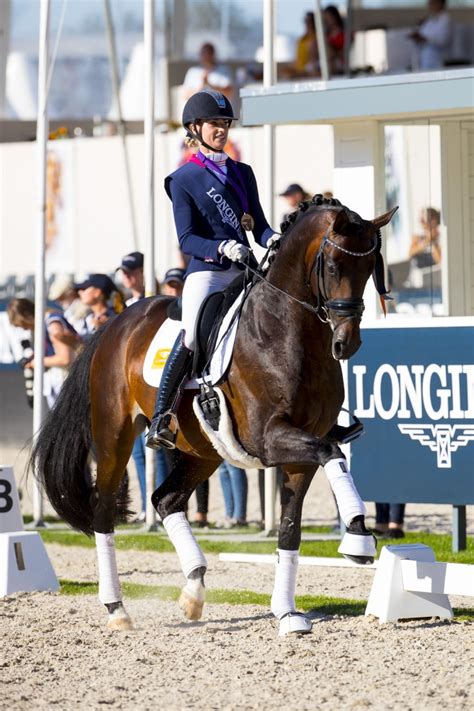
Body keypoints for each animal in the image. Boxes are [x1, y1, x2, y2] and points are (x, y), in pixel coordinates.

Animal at [31, 197, 396, 636]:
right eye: (332, 267)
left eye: (370, 266)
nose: (346, 343)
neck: (289, 331)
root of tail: (116, 323)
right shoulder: (270, 438)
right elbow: (332, 453)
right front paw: (358, 536)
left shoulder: (300, 451)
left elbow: (291, 529)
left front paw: (288, 613)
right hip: (114, 437)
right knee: (104, 511)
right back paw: (117, 608)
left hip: (203, 450)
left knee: (165, 499)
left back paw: (194, 590)